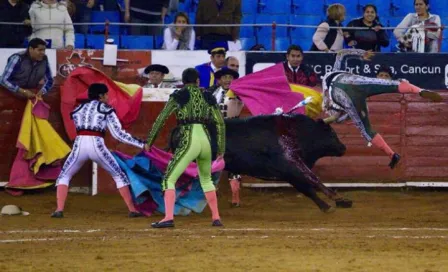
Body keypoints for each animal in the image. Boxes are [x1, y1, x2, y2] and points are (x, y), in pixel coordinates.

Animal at [169, 113, 354, 211]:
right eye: (331, 133)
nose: (343, 148)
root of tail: (179, 128)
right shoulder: (291, 167)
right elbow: (312, 182)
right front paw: (335, 201)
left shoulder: (291, 172)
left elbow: (309, 186)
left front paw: (332, 203)